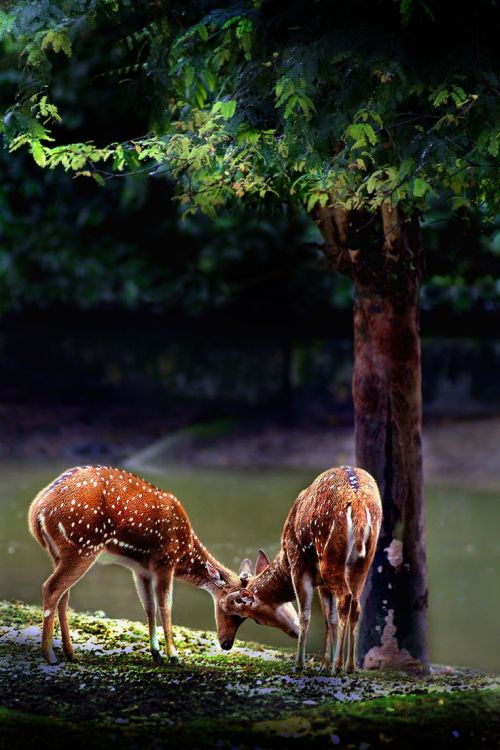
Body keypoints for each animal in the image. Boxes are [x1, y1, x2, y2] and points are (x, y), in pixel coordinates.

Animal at [28, 468, 300, 668]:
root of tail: (36, 513)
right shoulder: (165, 561)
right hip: (82, 546)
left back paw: (70, 653)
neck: (184, 551)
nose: (226, 644)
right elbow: (166, 606)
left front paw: (156, 653)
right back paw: (50, 655)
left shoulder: (141, 568)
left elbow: (148, 607)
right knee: (51, 588)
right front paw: (174, 656)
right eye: (234, 608)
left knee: (63, 595)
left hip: (59, 553)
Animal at [221, 470, 380, 676]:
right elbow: (329, 618)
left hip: (330, 556)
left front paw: (300, 664)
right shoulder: (322, 583)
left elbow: (305, 615)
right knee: (355, 604)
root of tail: (359, 504)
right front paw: (323, 664)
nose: (225, 644)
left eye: (256, 620)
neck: (285, 561)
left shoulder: (298, 564)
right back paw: (350, 666)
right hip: (364, 561)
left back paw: (338, 666)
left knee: (345, 599)